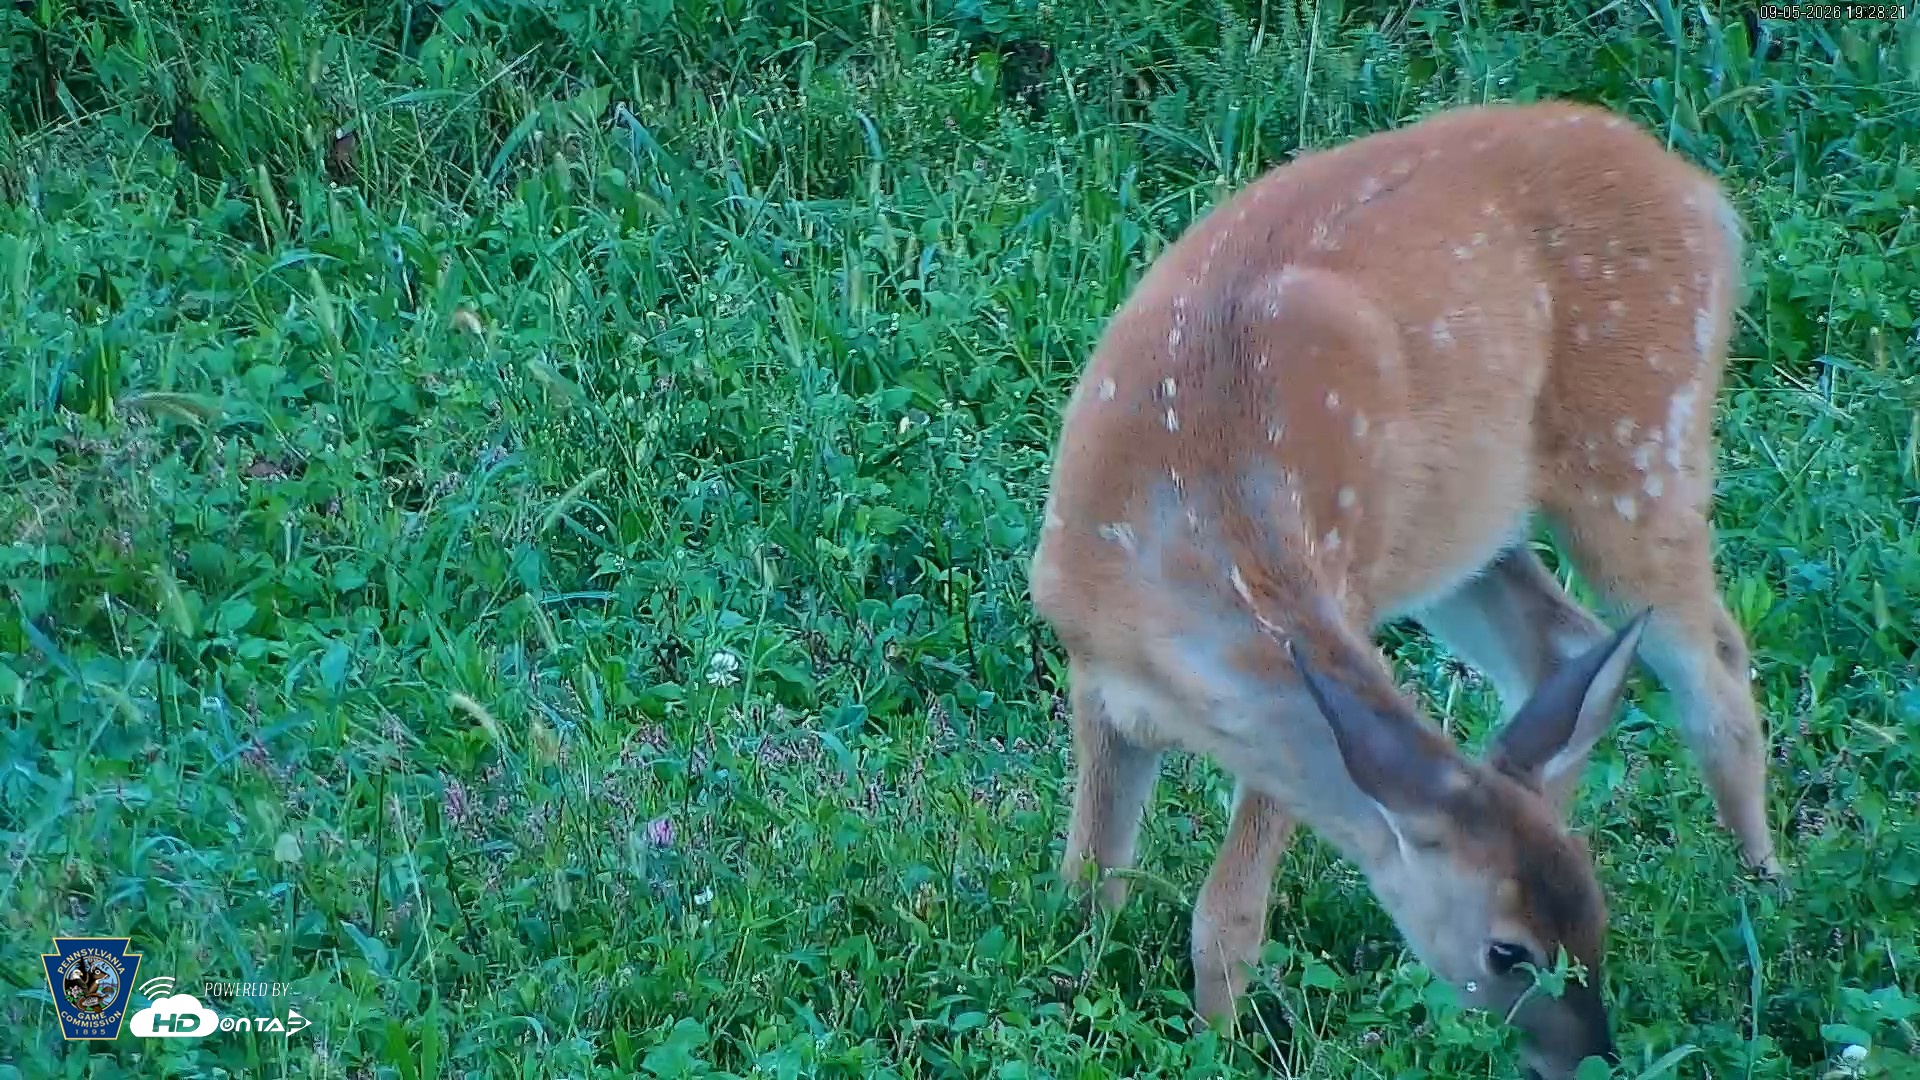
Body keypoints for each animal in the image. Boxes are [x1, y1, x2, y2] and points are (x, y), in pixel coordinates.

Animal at [1027, 100, 1778, 1079]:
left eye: (1598, 926)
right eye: (1510, 951)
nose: (1592, 1060)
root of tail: (1705, 196)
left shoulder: (1336, 606)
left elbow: (1227, 914)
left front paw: (1215, 1041)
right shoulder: (1091, 668)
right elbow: (1089, 881)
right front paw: (1085, 997)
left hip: (1639, 446)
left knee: (1714, 657)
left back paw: (1767, 889)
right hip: (1471, 529)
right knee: (1568, 644)